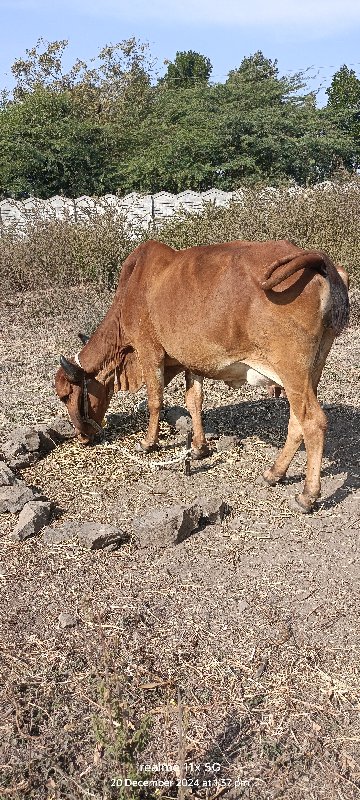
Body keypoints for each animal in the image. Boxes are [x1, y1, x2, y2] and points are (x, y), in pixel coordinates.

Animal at [55, 239, 348, 512]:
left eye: (65, 395)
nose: (82, 437)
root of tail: (321, 262)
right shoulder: (190, 362)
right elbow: (194, 401)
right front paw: (198, 448)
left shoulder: (149, 351)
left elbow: (155, 402)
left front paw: (148, 443)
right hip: (311, 371)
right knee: (296, 422)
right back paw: (274, 473)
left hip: (291, 369)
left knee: (313, 422)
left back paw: (307, 495)